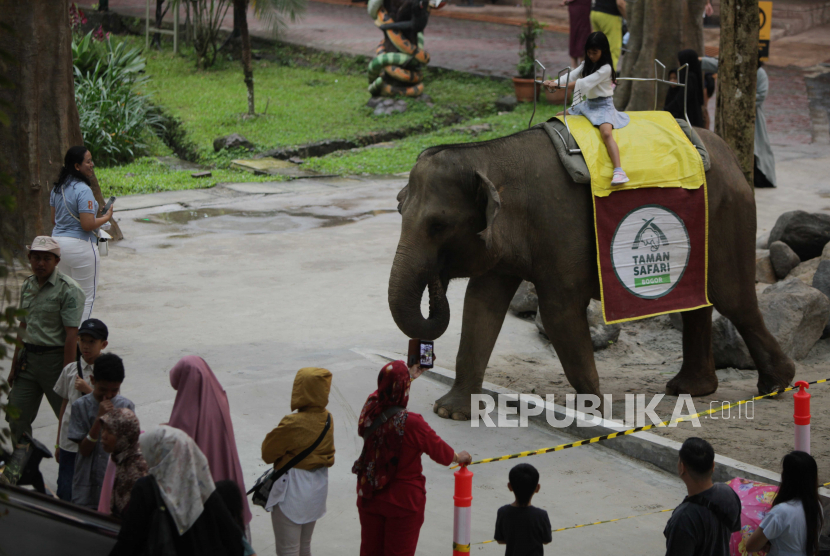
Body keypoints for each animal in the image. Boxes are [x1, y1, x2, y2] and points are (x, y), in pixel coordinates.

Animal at [390, 126, 800, 420]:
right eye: (398, 208)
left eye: (438, 226)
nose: (438, 277)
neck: (489, 154)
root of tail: (728, 153)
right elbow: (480, 304)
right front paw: (450, 412)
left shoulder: (560, 230)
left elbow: (558, 313)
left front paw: (598, 416)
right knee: (698, 301)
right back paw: (690, 389)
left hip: (727, 215)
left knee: (732, 297)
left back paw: (775, 384)